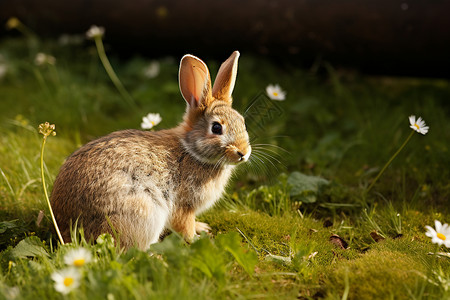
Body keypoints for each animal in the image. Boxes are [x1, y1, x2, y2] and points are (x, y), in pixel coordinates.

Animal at [51, 51, 253, 251]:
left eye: (242, 122)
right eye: (217, 128)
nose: (243, 153)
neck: (191, 151)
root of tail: (65, 228)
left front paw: (202, 227)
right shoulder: (183, 205)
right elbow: (184, 225)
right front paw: (197, 239)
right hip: (143, 212)